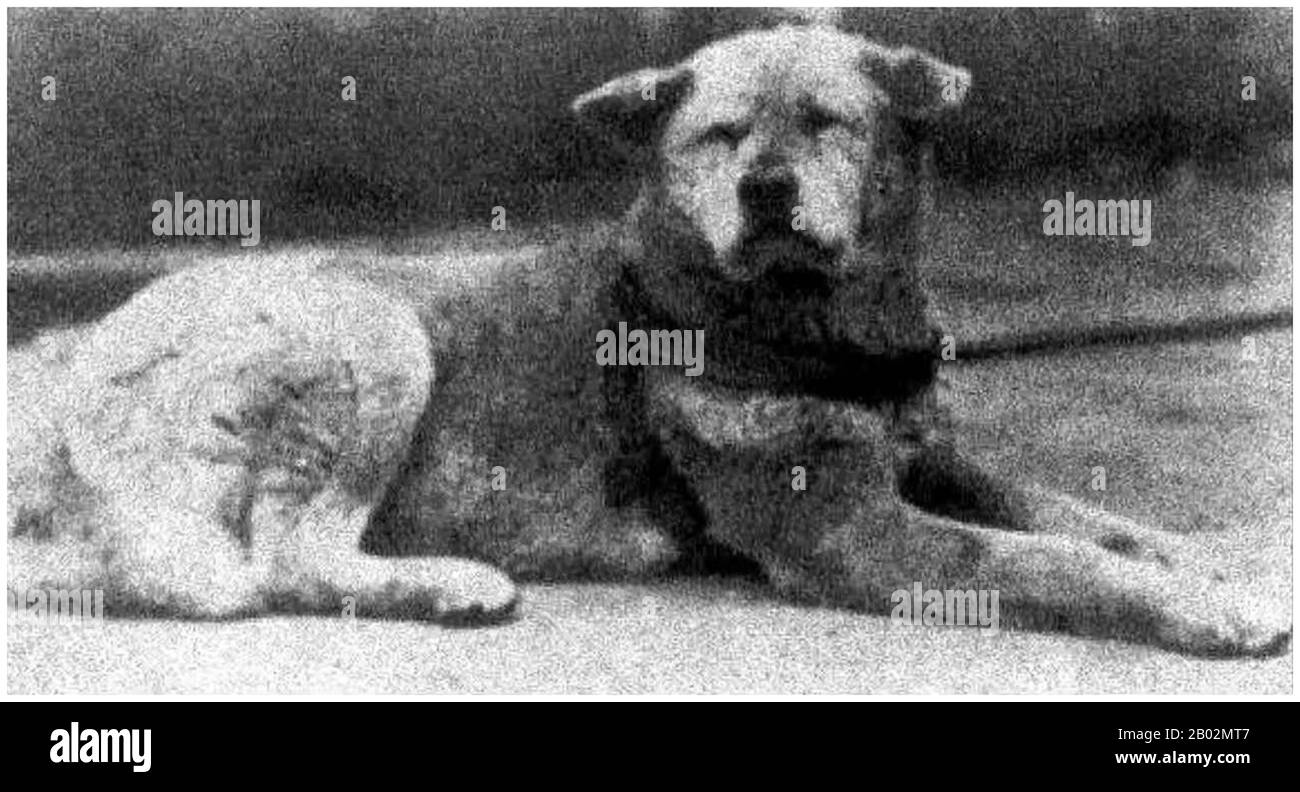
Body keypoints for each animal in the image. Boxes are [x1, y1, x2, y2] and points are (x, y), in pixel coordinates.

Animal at [7, 26, 1289, 655]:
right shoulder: (850, 532)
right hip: (374, 331)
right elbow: (1048, 559)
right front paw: (1205, 610)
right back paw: (446, 585)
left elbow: (1076, 514)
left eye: (827, 122)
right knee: (276, 561)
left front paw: (1193, 557)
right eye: (718, 137)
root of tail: (78, 358)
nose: (767, 192)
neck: (794, 322)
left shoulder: (929, 458)